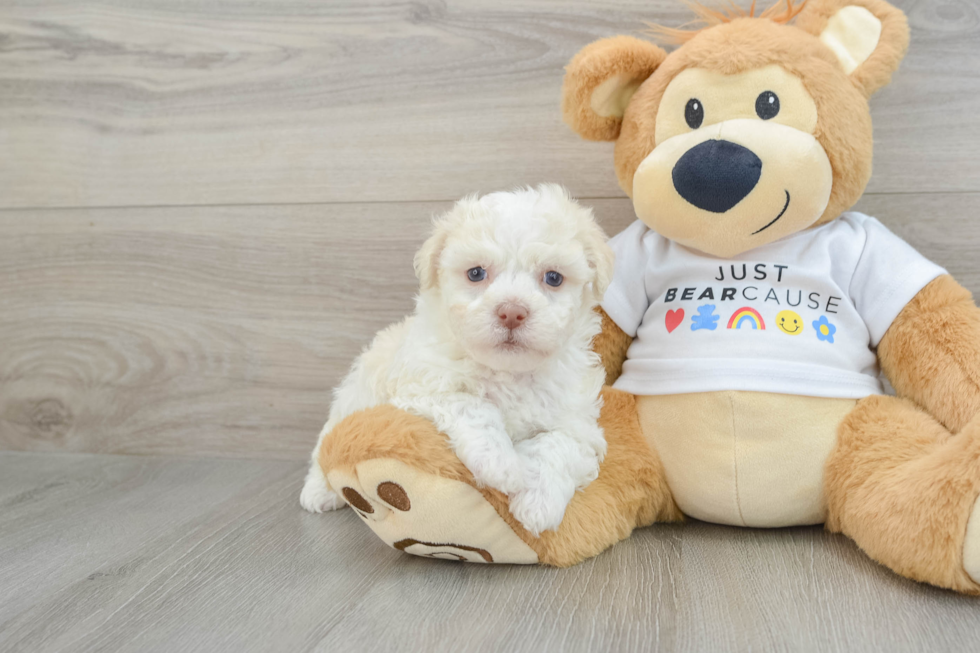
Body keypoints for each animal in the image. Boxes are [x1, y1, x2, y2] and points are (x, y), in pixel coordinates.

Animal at [302, 183, 616, 536]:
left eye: (553, 278)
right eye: (476, 273)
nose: (512, 312)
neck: (509, 373)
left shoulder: (579, 423)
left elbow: (559, 445)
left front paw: (539, 503)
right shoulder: (423, 388)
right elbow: (474, 408)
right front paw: (504, 466)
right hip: (353, 397)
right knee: (326, 443)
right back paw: (318, 491)